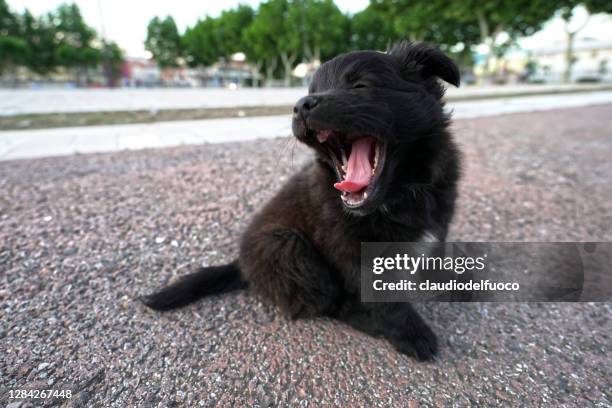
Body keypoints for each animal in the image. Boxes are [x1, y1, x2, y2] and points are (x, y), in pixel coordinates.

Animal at [143, 41, 460, 360]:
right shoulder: (353, 251)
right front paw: (411, 334)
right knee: (327, 303)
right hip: (288, 248)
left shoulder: (440, 218)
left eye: (360, 85)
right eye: (311, 90)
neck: (401, 192)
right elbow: (385, 299)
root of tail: (242, 265)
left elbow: (437, 254)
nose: (301, 105)